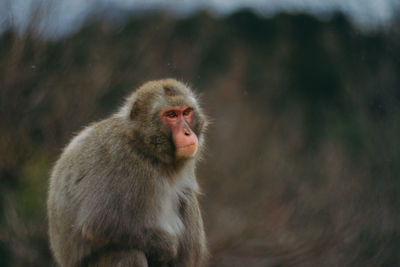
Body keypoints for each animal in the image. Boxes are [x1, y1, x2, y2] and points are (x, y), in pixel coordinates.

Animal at [47, 78, 209, 266]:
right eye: (171, 115)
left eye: (186, 112)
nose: (187, 133)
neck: (143, 146)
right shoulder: (124, 164)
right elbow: (99, 224)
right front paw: (167, 246)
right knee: (126, 252)